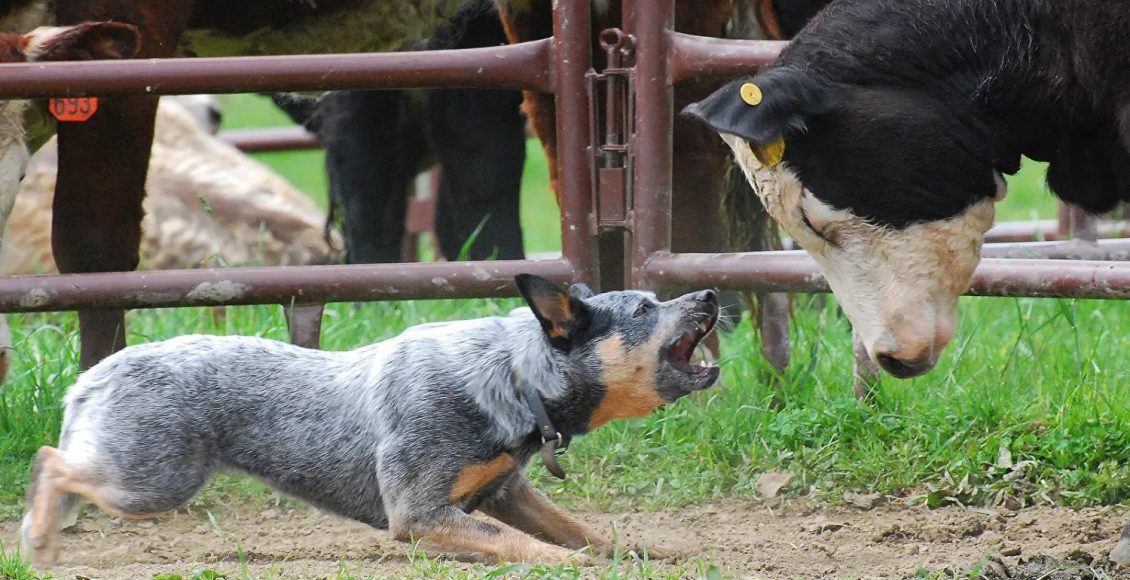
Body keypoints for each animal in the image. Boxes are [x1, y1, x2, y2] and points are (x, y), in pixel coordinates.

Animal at [22, 274, 718, 565]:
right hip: (152, 482)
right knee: (50, 461)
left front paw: (638, 551)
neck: (514, 381)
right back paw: (38, 539)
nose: (711, 293)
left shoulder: (506, 490)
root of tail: (93, 375)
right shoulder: (419, 513)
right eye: (646, 308)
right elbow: (523, 543)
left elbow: (581, 529)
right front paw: (566, 566)